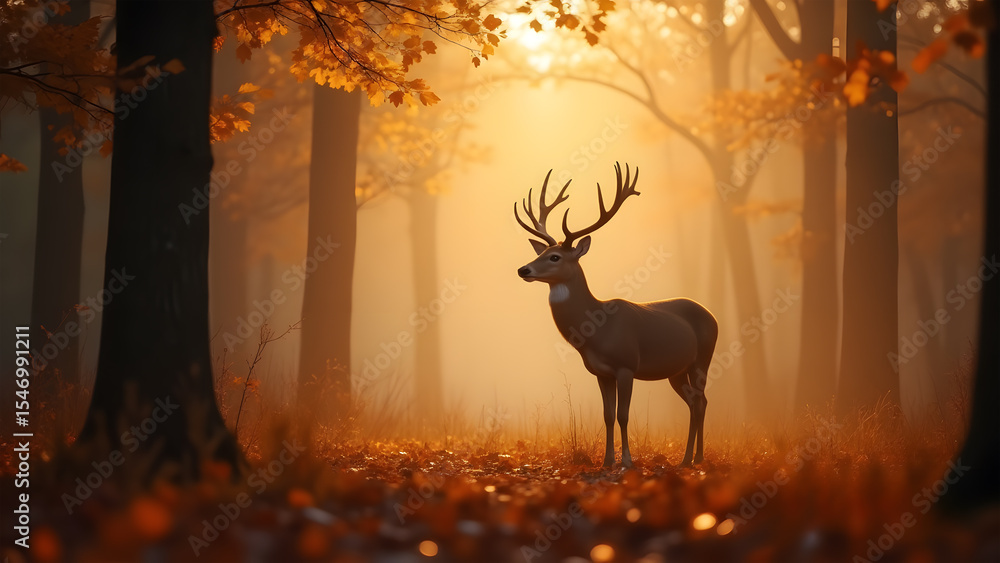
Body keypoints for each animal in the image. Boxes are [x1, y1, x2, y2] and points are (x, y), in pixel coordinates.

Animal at [514, 162, 718, 468]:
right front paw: (607, 461)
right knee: (695, 402)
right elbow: (608, 416)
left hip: (702, 358)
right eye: (543, 252)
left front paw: (627, 461)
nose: (523, 269)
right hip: (677, 371)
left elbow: (623, 415)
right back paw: (689, 460)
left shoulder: (626, 365)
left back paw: (696, 459)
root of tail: (712, 315)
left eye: (555, 257)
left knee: (701, 401)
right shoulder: (601, 372)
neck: (597, 328)